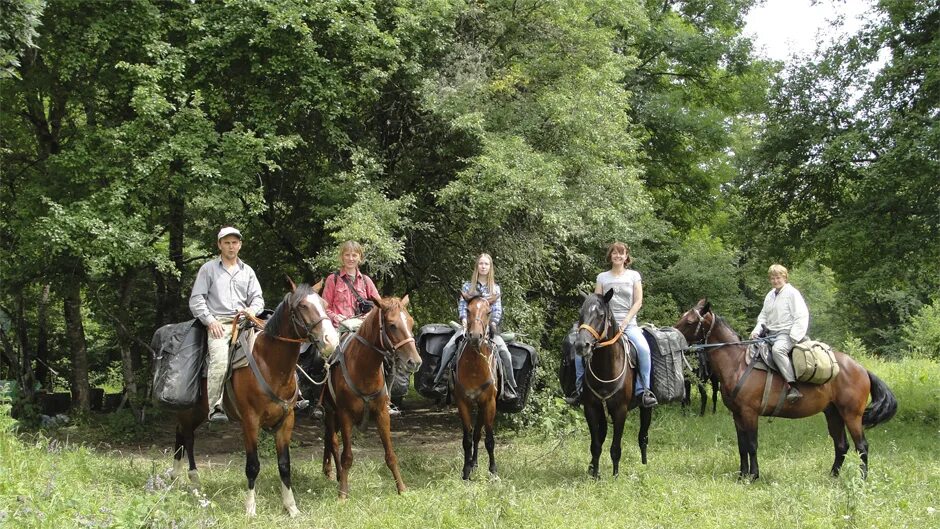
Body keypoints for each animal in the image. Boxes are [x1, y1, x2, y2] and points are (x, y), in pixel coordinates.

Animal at [171, 280, 340, 516]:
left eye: (324, 304)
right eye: (303, 306)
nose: (330, 340)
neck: (270, 364)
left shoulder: (287, 421)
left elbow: (285, 465)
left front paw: (291, 507)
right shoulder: (250, 421)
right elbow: (252, 465)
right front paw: (250, 508)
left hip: (199, 411)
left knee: (184, 434)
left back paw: (183, 478)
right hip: (189, 409)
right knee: (185, 434)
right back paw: (184, 476)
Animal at [322, 294, 420, 498]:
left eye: (411, 322)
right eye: (392, 325)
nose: (415, 362)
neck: (363, 369)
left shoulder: (382, 413)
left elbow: (390, 455)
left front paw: (402, 488)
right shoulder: (345, 415)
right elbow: (347, 456)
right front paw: (343, 493)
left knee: (329, 438)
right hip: (330, 411)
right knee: (332, 440)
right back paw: (334, 474)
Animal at [454, 292, 504, 478]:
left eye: (488, 312)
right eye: (468, 310)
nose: (475, 336)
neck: (475, 366)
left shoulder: (489, 403)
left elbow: (488, 439)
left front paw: (493, 471)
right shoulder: (462, 403)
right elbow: (466, 439)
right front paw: (466, 471)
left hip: (483, 406)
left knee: (478, 434)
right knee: (474, 435)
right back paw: (472, 464)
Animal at [572, 290, 652, 476]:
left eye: (601, 315)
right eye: (581, 314)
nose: (581, 345)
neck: (606, 367)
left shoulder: (620, 410)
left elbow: (615, 447)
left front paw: (615, 476)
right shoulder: (591, 408)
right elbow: (595, 445)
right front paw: (595, 474)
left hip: (646, 407)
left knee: (643, 434)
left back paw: (644, 464)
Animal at [672, 300, 900, 480]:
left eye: (690, 321)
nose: (673, 335)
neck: (738, 364)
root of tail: (861, 369)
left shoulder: (749, 413)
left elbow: (752, 444)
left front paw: (753, 475)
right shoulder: (737, 415)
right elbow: (742, 445)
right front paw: (742, 475)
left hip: (852, 415)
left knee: (862, 447)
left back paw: (861, 479)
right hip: (833, 413)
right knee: (841, 445)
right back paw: (833, 475)